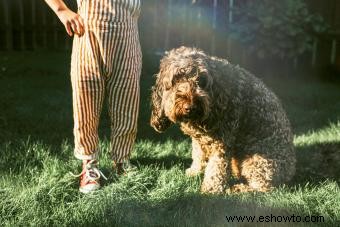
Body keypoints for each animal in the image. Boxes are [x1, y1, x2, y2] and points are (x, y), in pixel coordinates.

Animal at [150, 46, 296, 193]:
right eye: (176, 79)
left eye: (201, 80)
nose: (190, 107)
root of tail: (291, 170)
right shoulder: (199, 140)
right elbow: (198, 155)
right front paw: (195, 171)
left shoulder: (222, 141)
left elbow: (216, 167)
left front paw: (211, 189)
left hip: (258, 161)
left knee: (263, 187)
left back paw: (236, 188)